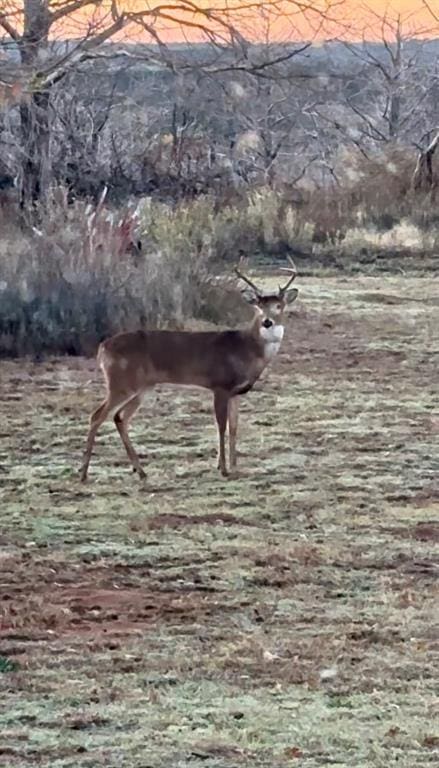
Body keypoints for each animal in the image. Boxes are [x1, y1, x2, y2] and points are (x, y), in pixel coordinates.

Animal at [79, 260, 300, 484]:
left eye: (279, 306)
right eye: (259, 306)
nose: (267, 321)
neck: (246, 349)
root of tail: (102, 348)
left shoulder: (236, 392)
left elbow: (234, 427)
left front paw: (235, 466)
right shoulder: (219, 385)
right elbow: (221, 425)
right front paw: (223, 468)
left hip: (143, 387)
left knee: (119, 417)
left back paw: (140, 471)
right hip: (121, 382)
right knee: (97, 416)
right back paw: (84, 472)